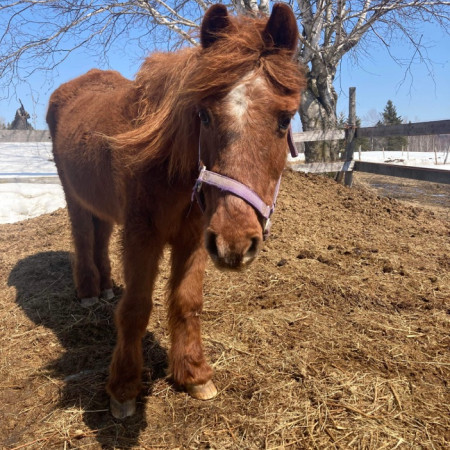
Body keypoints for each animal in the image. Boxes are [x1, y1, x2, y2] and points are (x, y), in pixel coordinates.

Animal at [45, 2, 304, 418]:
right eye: (205, 115)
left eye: (284, 119)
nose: (236, 242)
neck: (167, 164)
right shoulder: (142, 236)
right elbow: (135, 309)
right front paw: (123, 388)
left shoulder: (196, 237)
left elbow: (187, 302)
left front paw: (194, 374)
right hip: (73, 195)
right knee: (83, 236)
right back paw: (87, 290)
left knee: (99, 236)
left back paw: (104, 286)